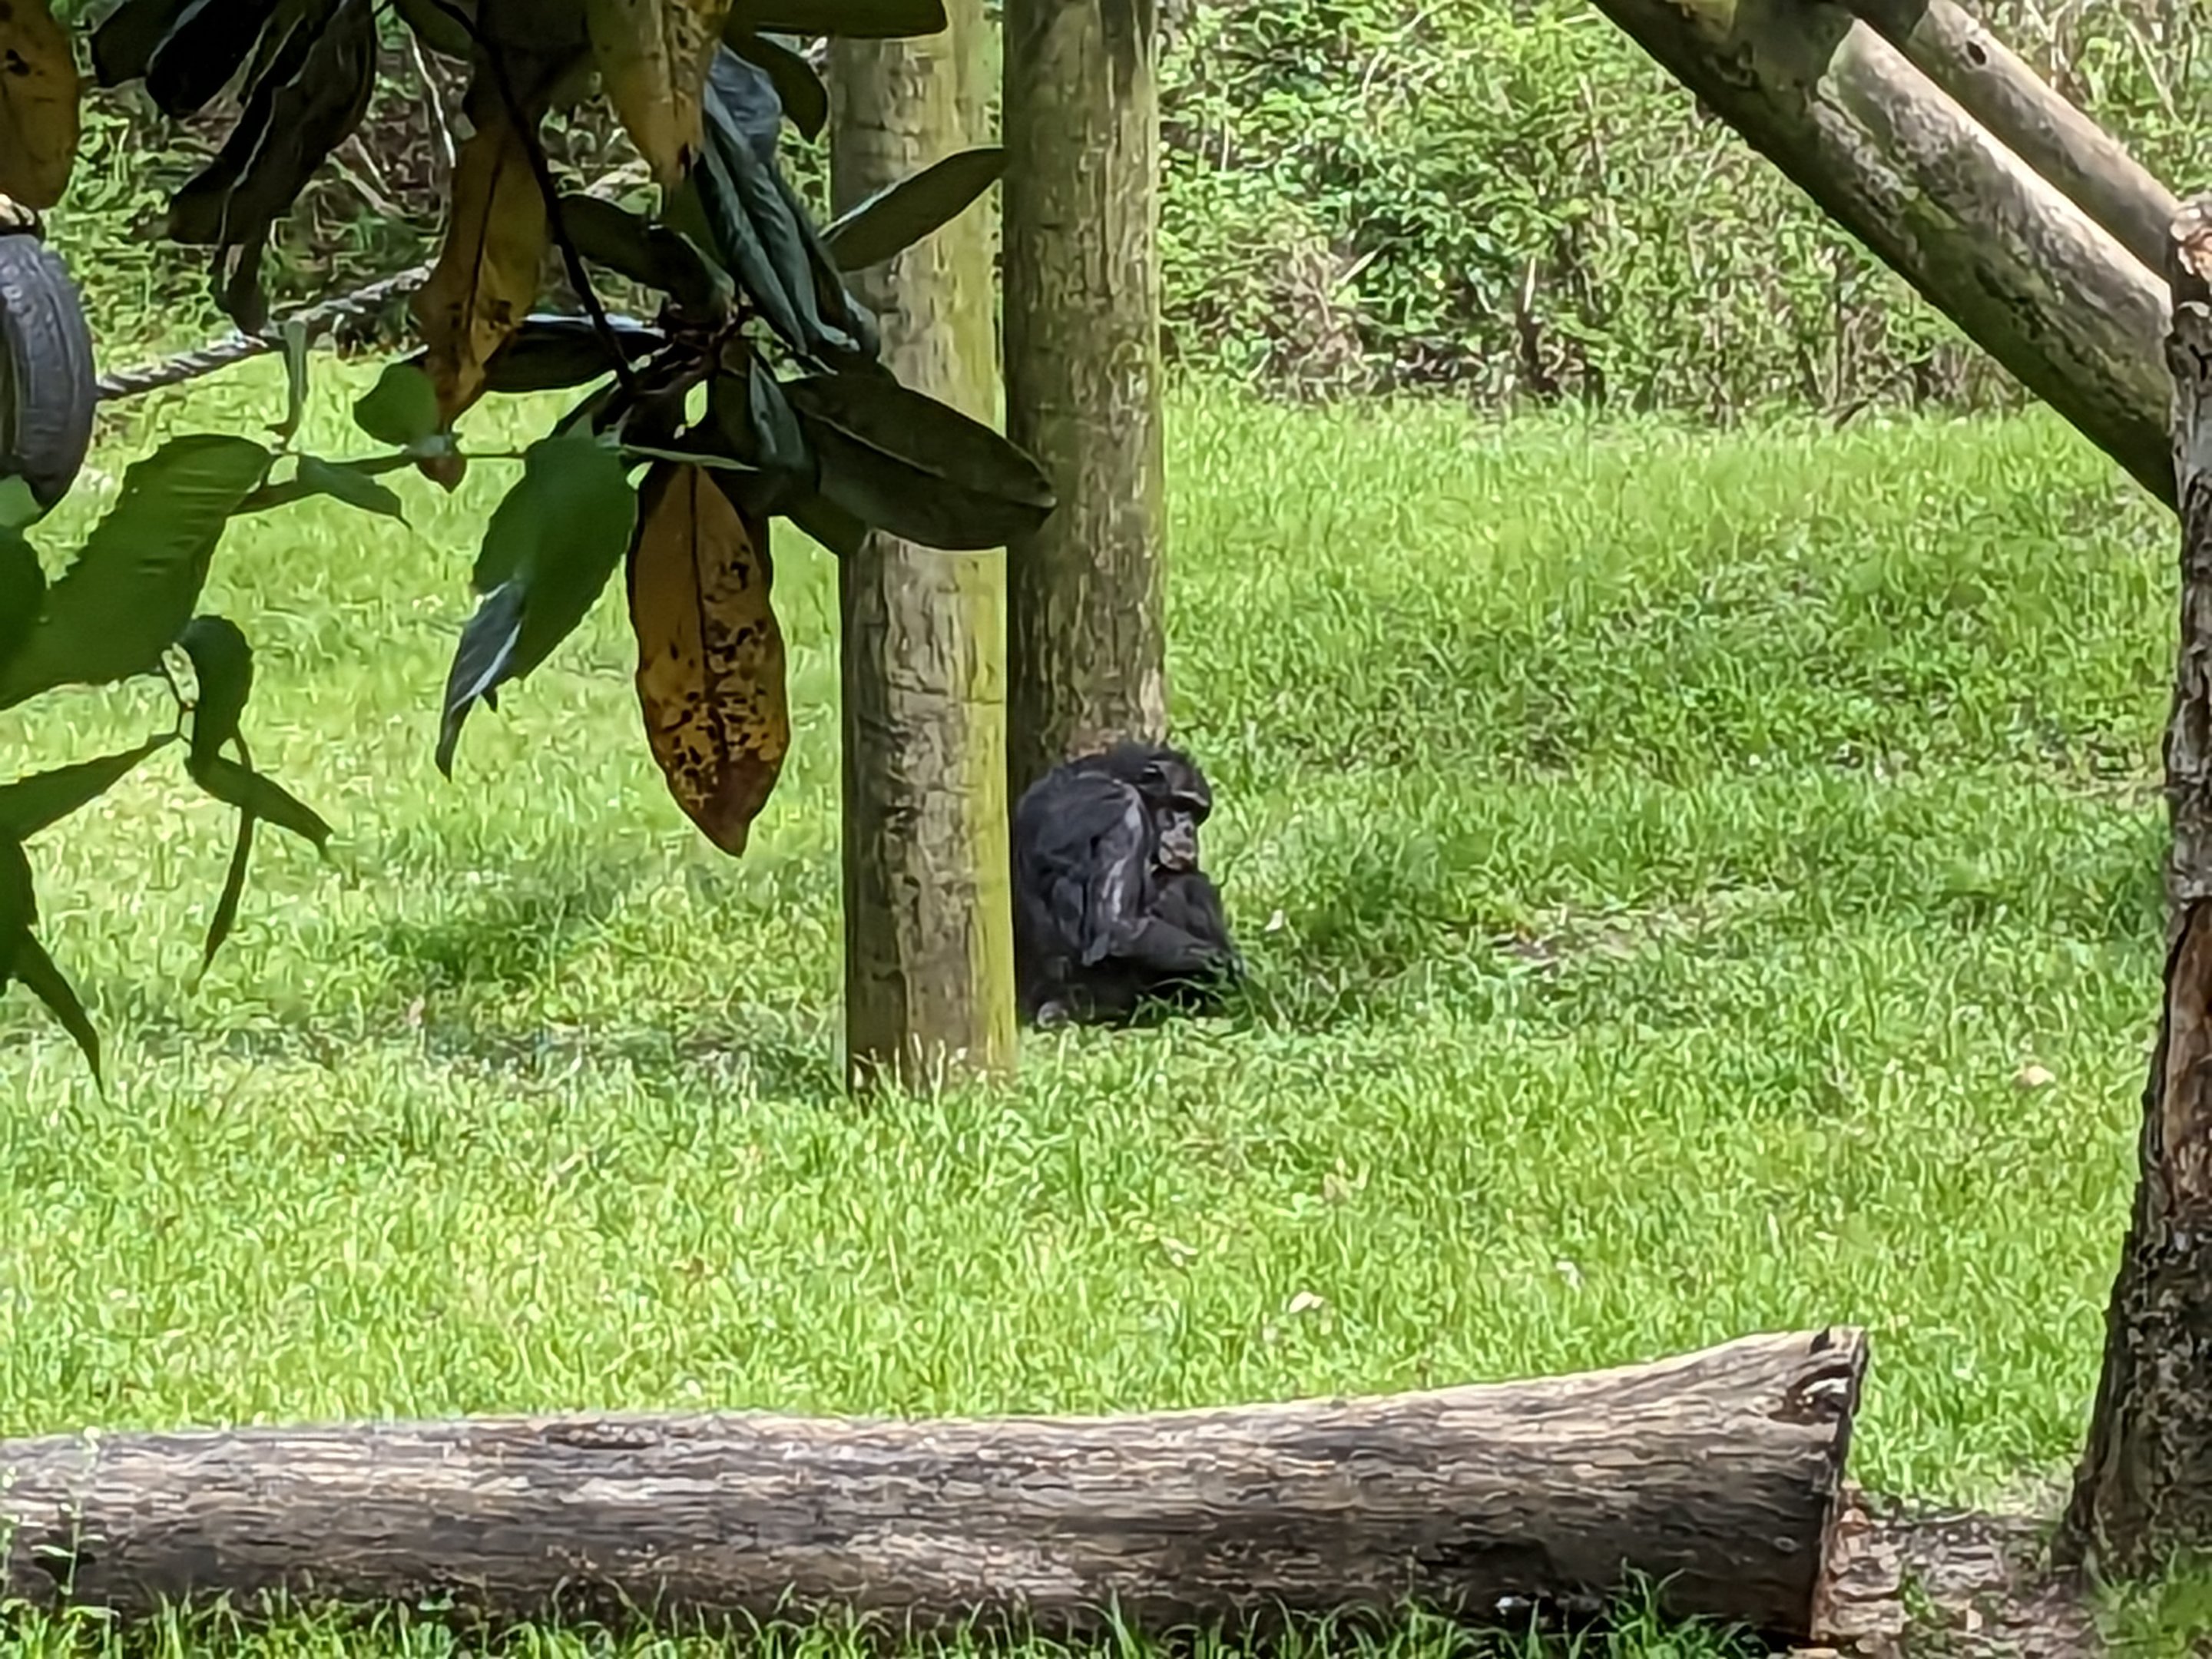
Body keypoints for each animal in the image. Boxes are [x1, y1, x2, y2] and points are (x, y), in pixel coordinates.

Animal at [1012, 741, 1244, 1028]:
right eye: (1182, 804)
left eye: (1197, 812)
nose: (1189, 830)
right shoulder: (1126, 811)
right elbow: (1117, 928)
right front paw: (1234, 969)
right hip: (1106, 1000)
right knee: (1186, 884)